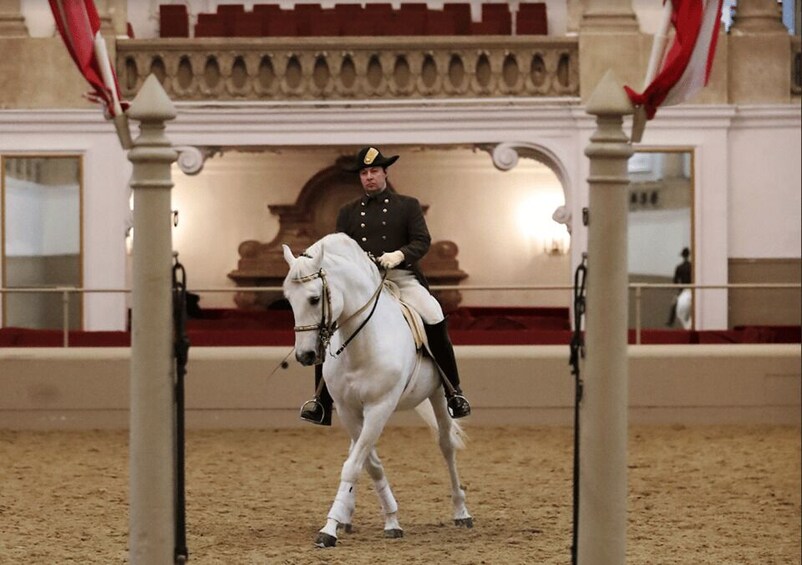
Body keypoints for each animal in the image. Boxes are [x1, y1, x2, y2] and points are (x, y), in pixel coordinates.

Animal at [282, 232, 472, 548]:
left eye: (314, 298)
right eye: (288, 300)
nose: (305, 355)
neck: (361, 343)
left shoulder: (380, 407)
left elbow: (355, 465)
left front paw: (329, 530)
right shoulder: (348, 409)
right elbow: (366, 463)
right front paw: (383, 518)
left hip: (437, 395)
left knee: (446, 446)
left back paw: (461, 512)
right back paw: (348, 517)